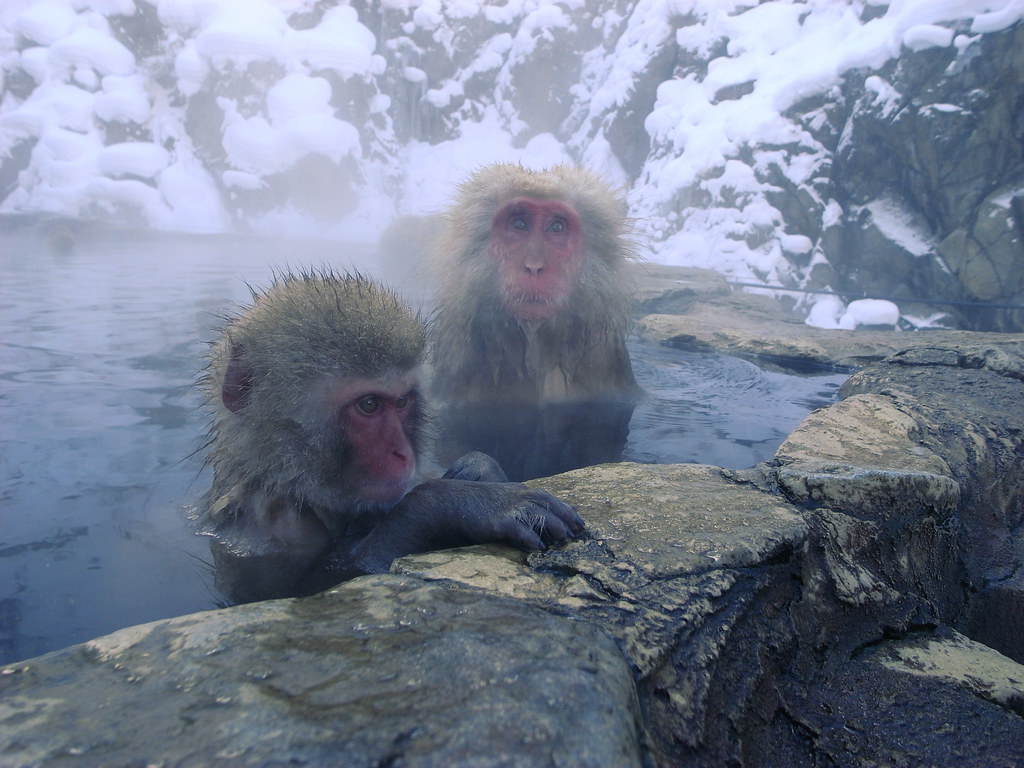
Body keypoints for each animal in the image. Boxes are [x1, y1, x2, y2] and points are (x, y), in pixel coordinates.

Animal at [196, 269, 583, 604]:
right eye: (368, 405)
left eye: (401, 402)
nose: (403, 454)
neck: (288, 481)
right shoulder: (273, 525)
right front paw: (455, 503)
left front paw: (478, 468)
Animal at [428, 164, 641, 481]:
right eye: (519, 224)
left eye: (557, 227)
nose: (534, 266)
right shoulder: (461, 361)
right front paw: (479, 468)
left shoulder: (603, 363)